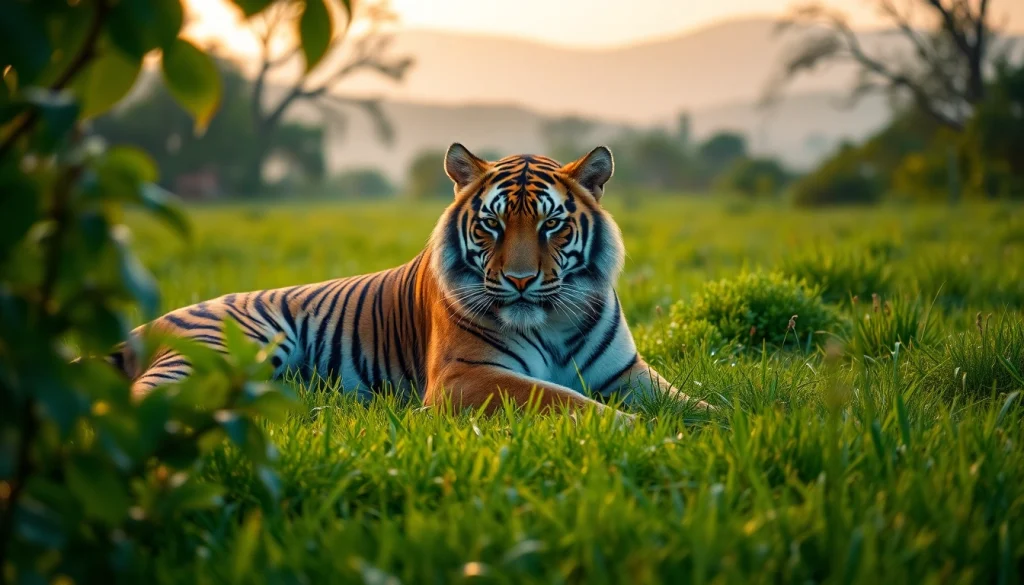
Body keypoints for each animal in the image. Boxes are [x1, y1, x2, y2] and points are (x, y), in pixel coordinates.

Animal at [110, 144, 710, 420]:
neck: (553, 321)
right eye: (492, 225)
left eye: (551, 225)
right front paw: (634, 430)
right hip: (229, 348)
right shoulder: (465, 377)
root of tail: (147, 322)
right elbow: (563, 399)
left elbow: (693, 401)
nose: (519, 281)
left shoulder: (628, 373)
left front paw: (721, 423)